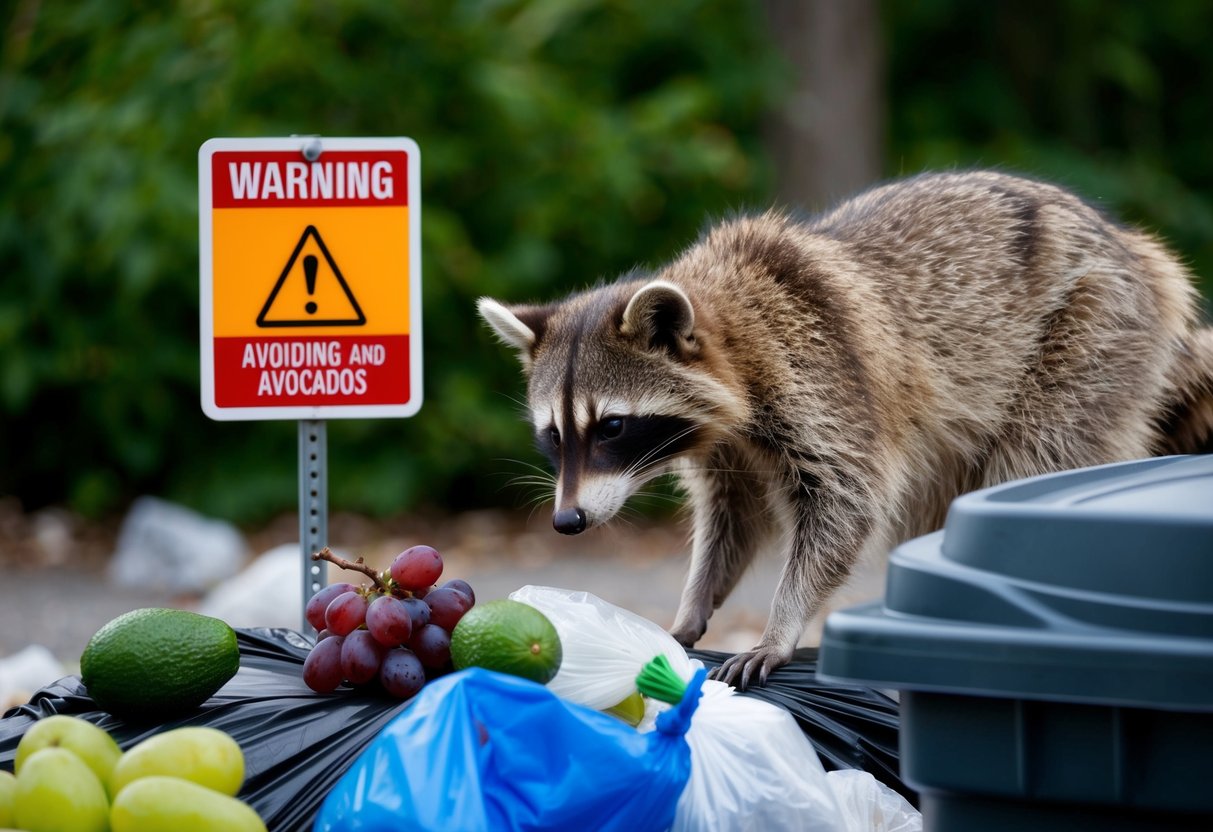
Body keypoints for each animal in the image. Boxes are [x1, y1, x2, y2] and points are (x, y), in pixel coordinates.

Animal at [478, 170, 1213, 688]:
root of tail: (1138, 255)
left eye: (611, 427)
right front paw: (694, 604)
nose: (567, 522)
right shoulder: (726, 446)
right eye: (553, 435)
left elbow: (844, 503)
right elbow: (731, 520)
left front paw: (781, 624)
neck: (732, 320)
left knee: (1034, 456)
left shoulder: (823, 377)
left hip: (1090, 332)